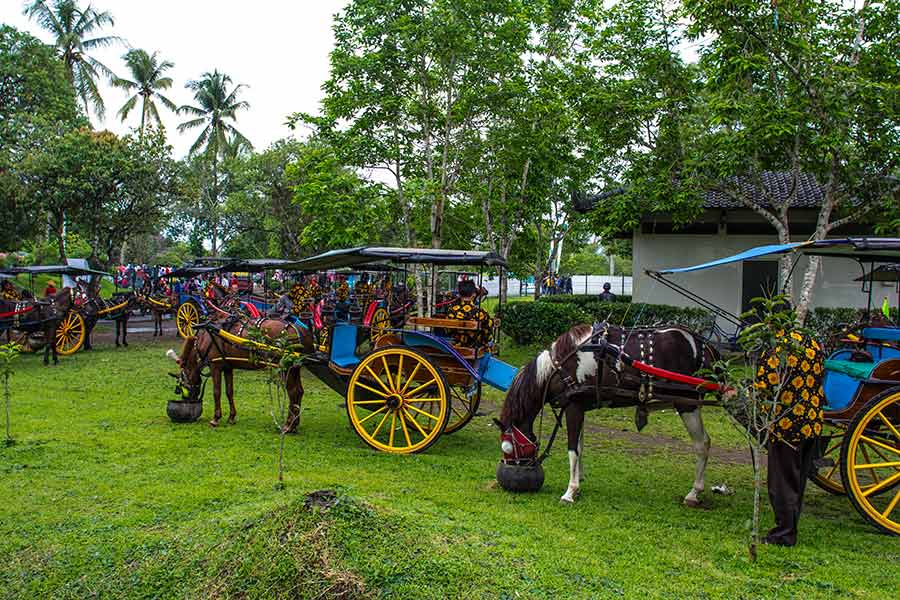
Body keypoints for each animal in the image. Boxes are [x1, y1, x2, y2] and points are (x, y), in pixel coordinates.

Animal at [169, 316, 316, 428]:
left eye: (180, 384)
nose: (187, 400)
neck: (205, 339)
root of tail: (301, 330)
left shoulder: (215, 366)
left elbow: (217, 392)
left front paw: (216, 418)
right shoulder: (228, 367)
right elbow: (229, 392)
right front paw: (231, 417)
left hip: (285, 368)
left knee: (293, 392)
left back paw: (289, 425)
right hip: (295, 368)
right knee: (299, 391)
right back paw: (295, 423)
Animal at [496, 324, 720, 506]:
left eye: (508, 447)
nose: (509, 475)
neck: (559, 366)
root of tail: (704, 344)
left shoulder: (574, 406)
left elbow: (572, 449)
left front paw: (569, 492)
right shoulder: (580, 406)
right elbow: (580, 446)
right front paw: (578, 483)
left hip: (687, 403)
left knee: (702, 444)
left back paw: (694, 493)